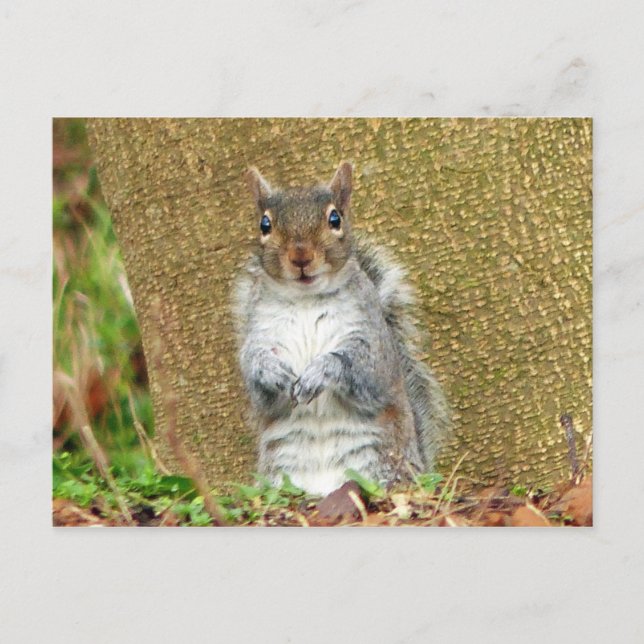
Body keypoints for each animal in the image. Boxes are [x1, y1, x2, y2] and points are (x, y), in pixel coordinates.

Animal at [232, 161, 449, 496]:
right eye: (264, 225)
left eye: (335, 219)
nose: (300, 256)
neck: (306, 299)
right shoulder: (260, 332)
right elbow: (253, 373)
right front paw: (271, 370)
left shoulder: (373, 339)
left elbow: (364, 368)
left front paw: (320, 371)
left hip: (383, 464)